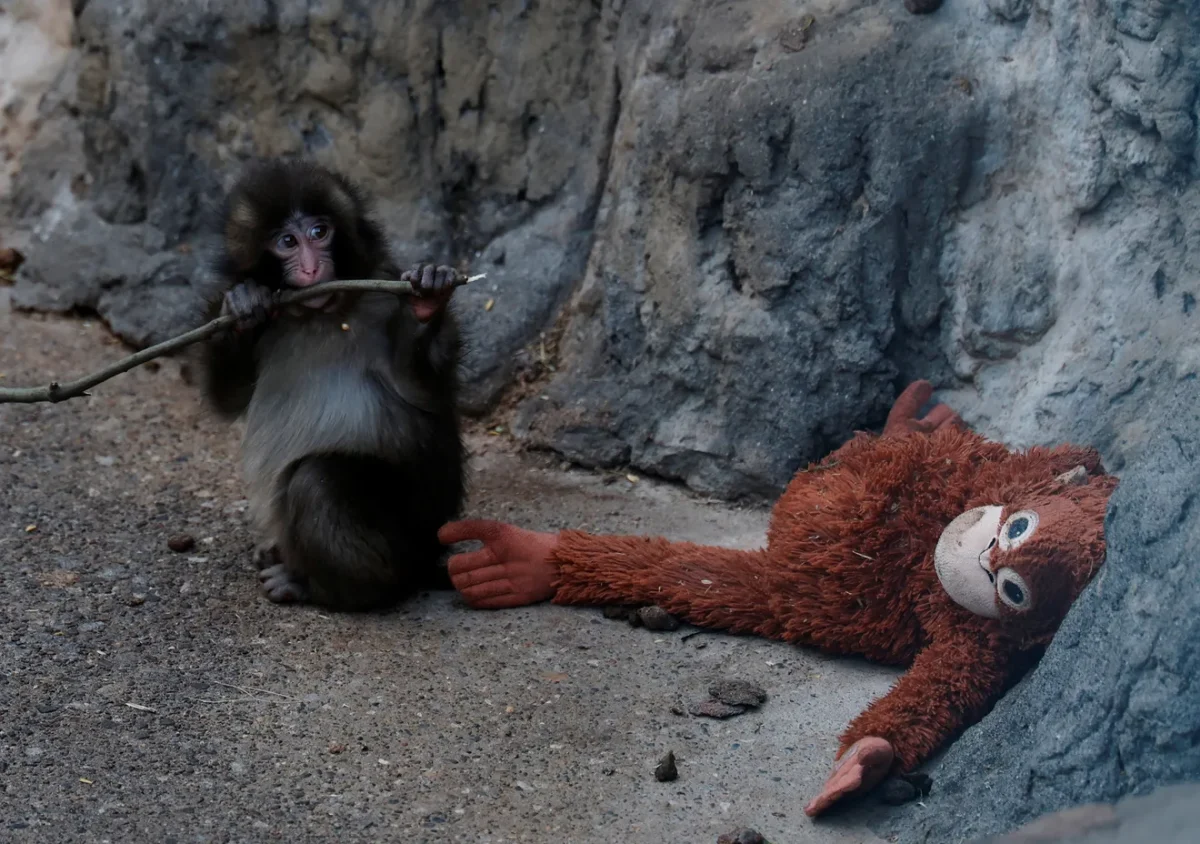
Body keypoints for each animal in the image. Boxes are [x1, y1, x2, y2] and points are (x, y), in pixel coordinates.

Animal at [198, 159, 466, 612]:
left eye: (320, 232)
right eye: (287, 241)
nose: (310, 268)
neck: (318, 314)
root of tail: (428, 552)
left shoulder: (383, 293)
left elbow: (423, 389)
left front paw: (427, 302)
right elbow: (229, 396)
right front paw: (243, 305)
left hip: (408, 534)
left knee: (318, 478)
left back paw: (329, 588)